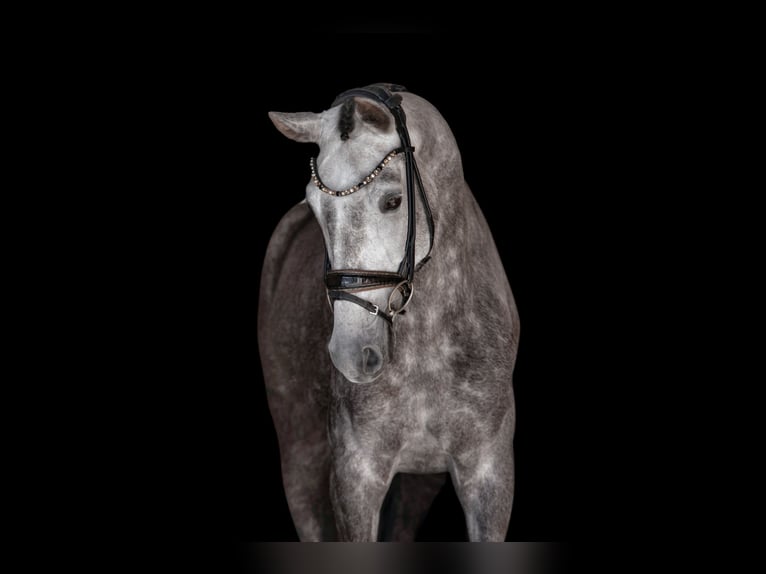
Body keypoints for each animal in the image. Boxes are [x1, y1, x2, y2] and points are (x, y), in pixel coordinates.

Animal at [259, 83, 519, 541]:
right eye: (315, 208)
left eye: (393, 200)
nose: (351, 354)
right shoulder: (356, 474)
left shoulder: (489, 475)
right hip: (300, 457)